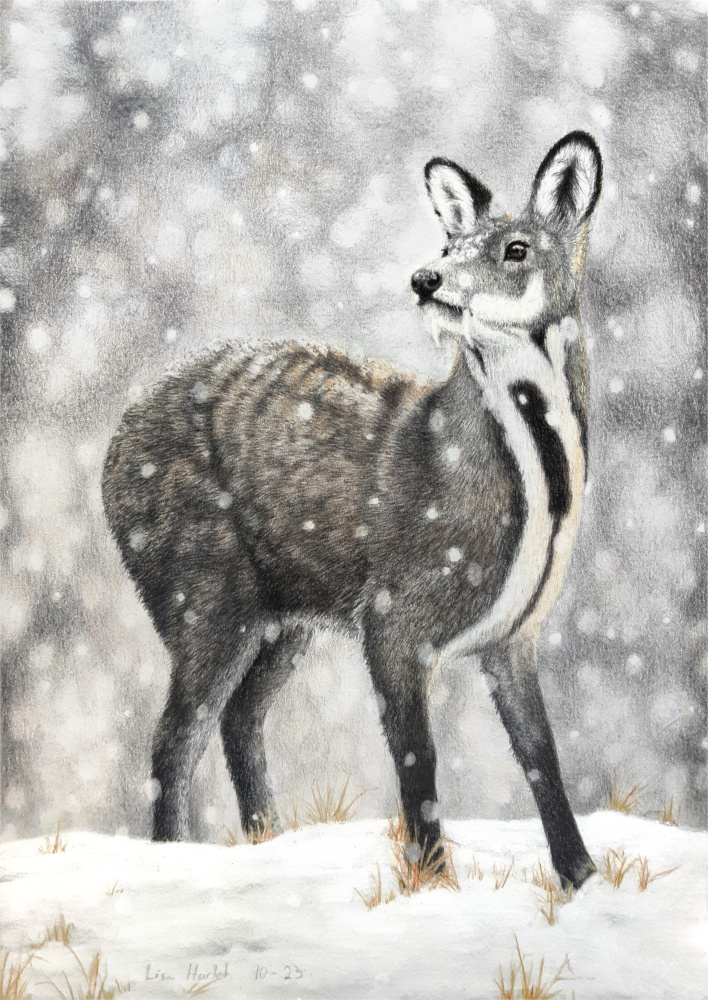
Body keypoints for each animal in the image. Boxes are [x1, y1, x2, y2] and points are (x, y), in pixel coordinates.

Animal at [102, 131, 602, 890]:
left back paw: (269, 842)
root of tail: (110, 449)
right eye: (449, 242)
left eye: (515, 248)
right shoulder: (392, 617)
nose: (425, 279)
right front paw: (433, 884)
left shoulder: (515, 635)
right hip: (203, 592)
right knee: (173, 738)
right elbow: (418, 761)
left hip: (282, 618)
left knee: (238, 720)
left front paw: (582, 878)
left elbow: (543, 756)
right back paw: (173, 860)